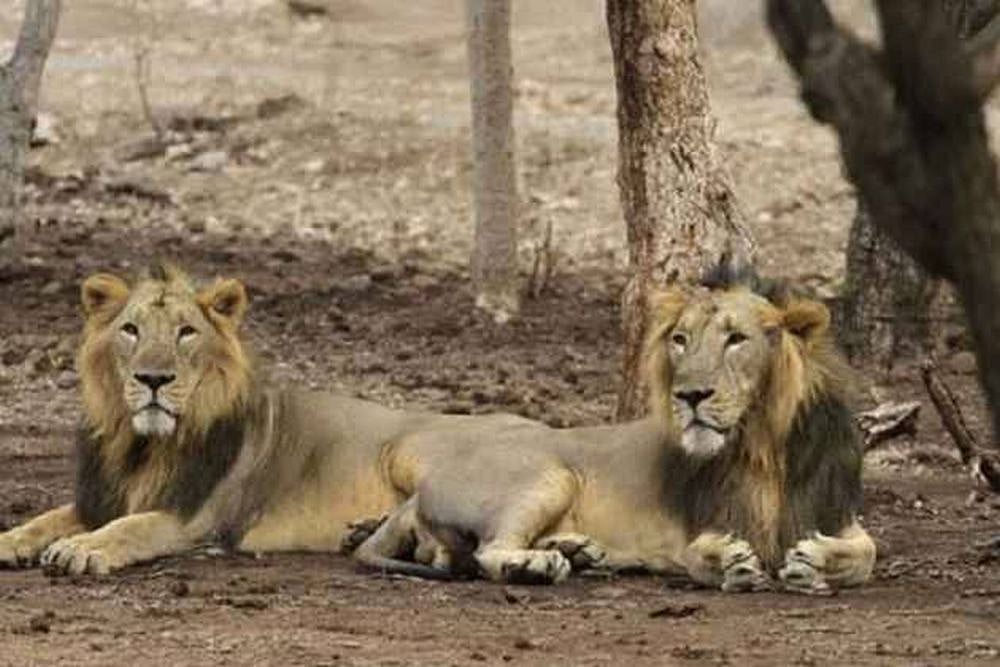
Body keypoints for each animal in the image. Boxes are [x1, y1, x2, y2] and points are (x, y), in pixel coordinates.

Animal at [0, 263, 531, 575]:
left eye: (186, 332)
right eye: (130, 330)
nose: (153, 378)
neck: (143, 446)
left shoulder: (198, 518)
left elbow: (132, 527)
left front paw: (82, 549)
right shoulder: (99, 498)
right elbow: (48, 518)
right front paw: (13, 540)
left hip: (410, 451)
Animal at [349, 268, 876, 593]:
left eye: (736, 339)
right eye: (680, 340)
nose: (690, 395)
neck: (762, 445)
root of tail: (423, 490)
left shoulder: (835, 511)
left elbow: (867, 552)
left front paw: (816, 560)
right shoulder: (692, 530)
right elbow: (700, 554)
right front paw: (732, 563)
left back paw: (577, 550)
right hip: (550, 474)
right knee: (488, 552)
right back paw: (538, 564)